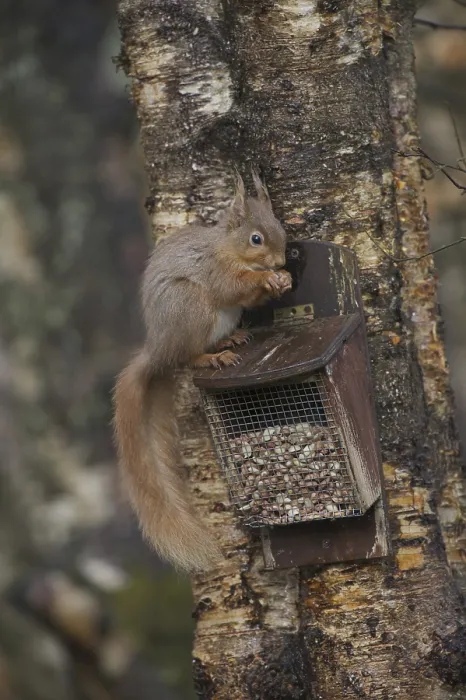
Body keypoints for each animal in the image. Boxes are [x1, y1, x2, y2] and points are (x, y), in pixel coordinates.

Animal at [113, 172, 292, 573]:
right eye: (256, 239)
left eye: (282, 230)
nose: (280, 260)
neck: (227, 247)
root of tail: (159, 349)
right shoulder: (215, 270)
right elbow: (234, 286)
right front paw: (267, 279)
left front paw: (282, 278)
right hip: (190, 306)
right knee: (188, 357)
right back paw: (211, 358)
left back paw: (233, 339)